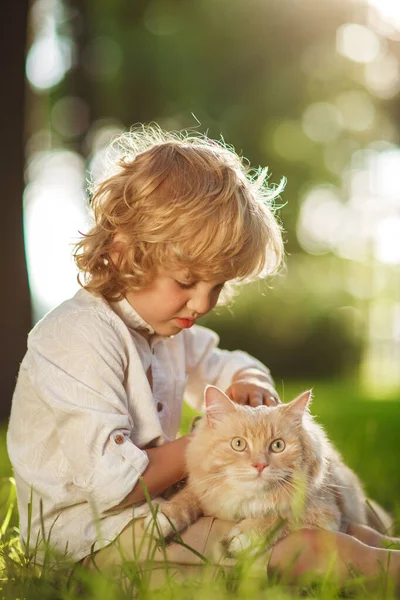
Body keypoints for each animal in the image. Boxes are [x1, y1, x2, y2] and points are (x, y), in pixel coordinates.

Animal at [145, 384, 368, 552]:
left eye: (277, 446)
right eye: (238, 444)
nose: (260, 464)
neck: (248, 500)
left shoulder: (326, 514)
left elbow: (281, 517)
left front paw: (245, 536)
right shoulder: (205, 489)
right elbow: (185, 498)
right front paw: (163, 519)